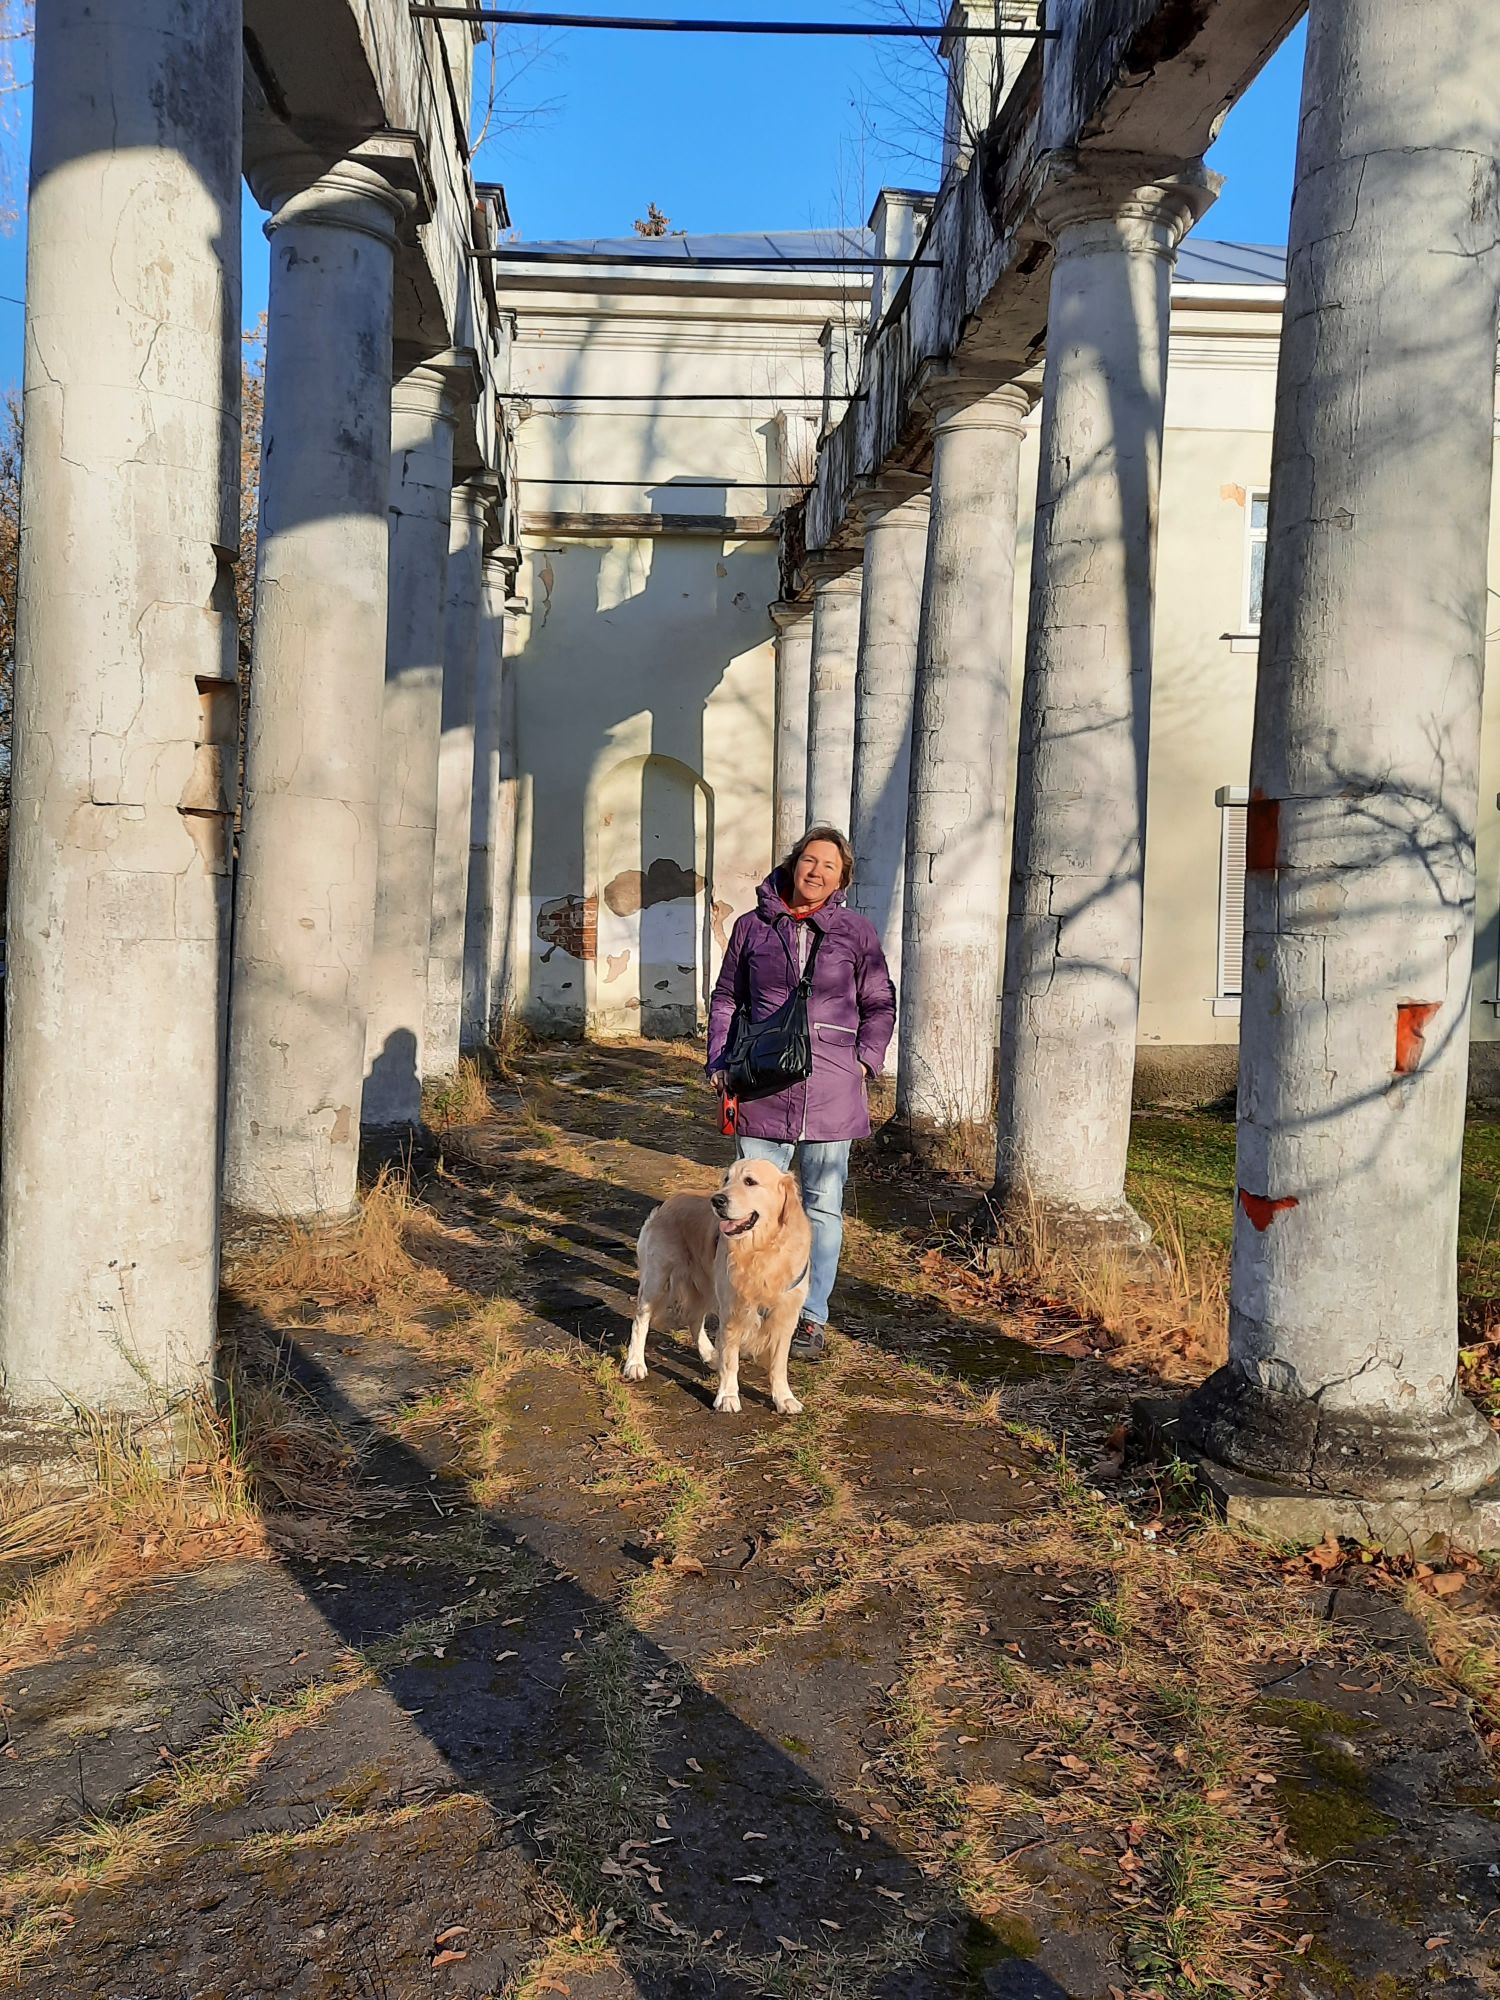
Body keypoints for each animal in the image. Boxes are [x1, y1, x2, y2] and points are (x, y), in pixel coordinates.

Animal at [623, 1158, 812, 1415]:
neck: (761, 1250)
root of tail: (669, 1201)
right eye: (726, 1179)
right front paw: (728, 1396)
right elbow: (731, 1361)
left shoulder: (785, 1315)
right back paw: (634, 1363)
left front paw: (784, 1398)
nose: (717, 1200)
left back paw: (709, 1353)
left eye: (750, 1181)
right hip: (657, 1278)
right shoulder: (732, 1310)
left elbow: (778, 1364)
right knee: (640, 1321)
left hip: (705, 1285)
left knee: (694, 1319)